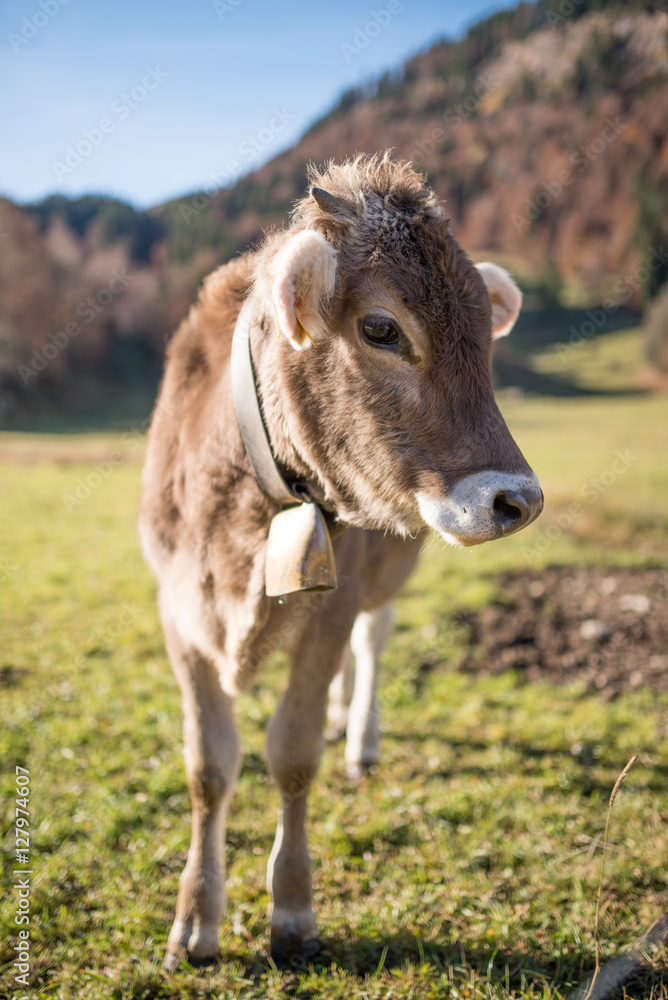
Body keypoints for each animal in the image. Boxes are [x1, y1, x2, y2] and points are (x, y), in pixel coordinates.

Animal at [137, 154, 544, 968]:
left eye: (485, 342)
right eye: (381, 328)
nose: (519, 500)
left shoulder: (335, 597)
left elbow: (291, 754)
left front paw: (291, 912)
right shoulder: (178, 610)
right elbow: (208, 767)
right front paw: (195, 920)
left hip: (382, 578)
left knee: (372, 645)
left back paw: (359, 738)